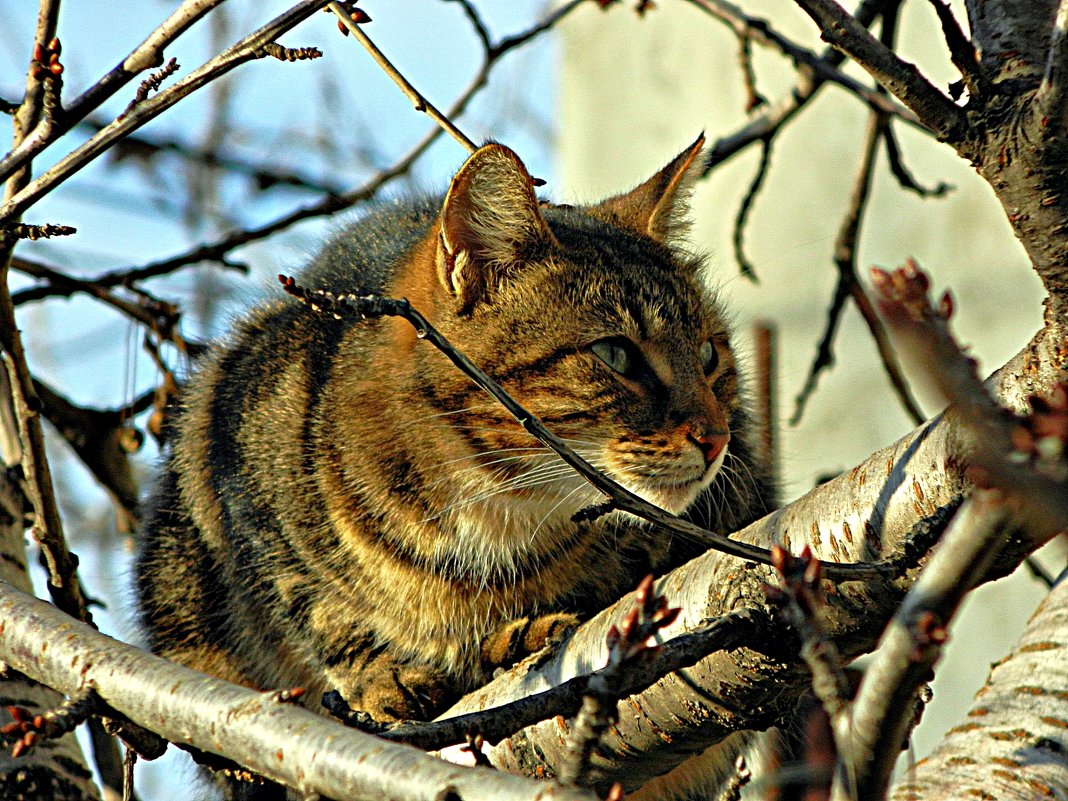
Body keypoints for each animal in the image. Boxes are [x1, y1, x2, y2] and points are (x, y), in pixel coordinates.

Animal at [135, 135, 768, 798]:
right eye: (615, 354)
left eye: (709, 355)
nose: (716, 436)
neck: (490, 511)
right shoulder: (237, 475)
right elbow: (311, 605)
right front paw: (382, 670)